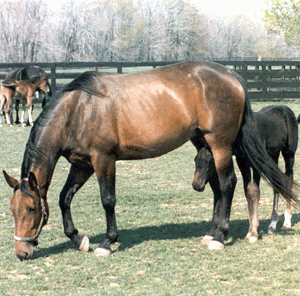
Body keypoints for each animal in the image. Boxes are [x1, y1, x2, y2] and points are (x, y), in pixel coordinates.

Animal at [192, 105, 298, 244]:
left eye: (209, 162)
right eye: (195, 160)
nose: (196, 185)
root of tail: (285, 108)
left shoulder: (255, 164)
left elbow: (255, 191)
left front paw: (254, 233)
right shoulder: (242, 162)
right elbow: (248, 191)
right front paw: (250, 231)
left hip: (288, 154)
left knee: (287, 181)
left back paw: (286, 221)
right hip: (272, 156)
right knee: (277, 184)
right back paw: (272, 225)